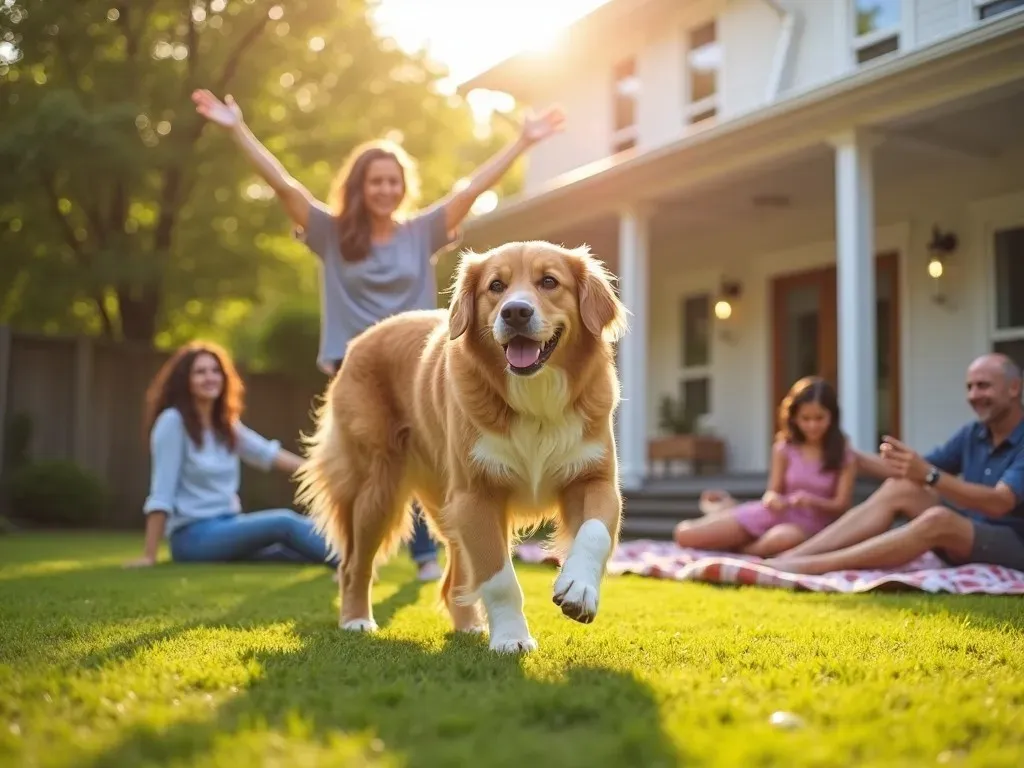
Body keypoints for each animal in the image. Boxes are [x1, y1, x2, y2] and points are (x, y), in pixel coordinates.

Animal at [296, 240, 626, 655]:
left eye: (549, 281)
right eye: (496, 286)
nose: (516, 312)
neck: (534, 398)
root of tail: (363, 338)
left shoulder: (594, 480)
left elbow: (594, 533)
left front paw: (579, 589)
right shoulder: (475, 496)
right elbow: (499, 578)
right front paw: (511, 638)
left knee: (454, 578)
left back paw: (468, 626)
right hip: (379, 491)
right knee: (354, 565)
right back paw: (356, 620)